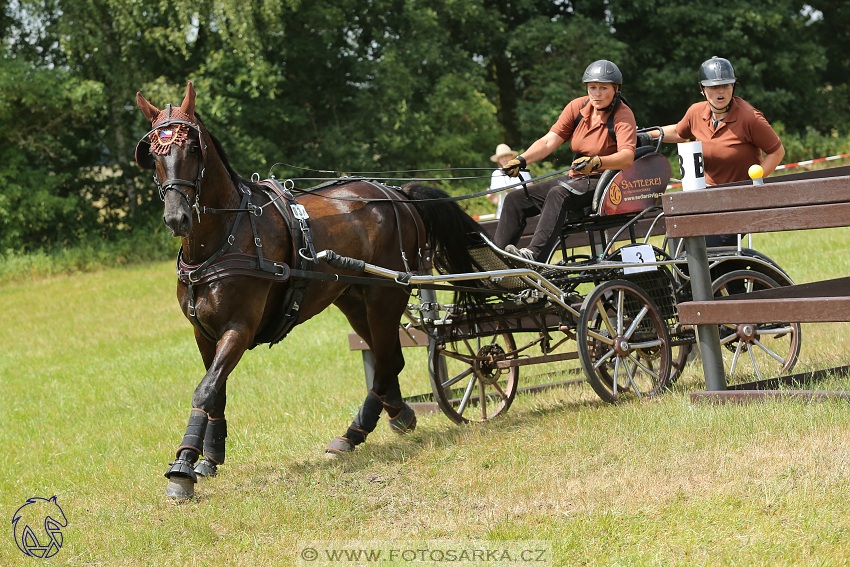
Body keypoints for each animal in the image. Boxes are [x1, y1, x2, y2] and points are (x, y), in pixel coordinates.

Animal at [136, 82, 480, 500]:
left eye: (191, 149)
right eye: (154, 154)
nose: (177, 218)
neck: (224, 237)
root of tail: (396, 193)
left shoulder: (239, 329)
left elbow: (205, 390)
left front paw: (183, 467)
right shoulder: (203, 332)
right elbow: (216, 391)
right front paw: (209, 458)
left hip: (386, 296)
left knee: (387, 360)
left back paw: (356, 430)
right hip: (354, 299)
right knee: (388, 360)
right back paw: (389, 418)